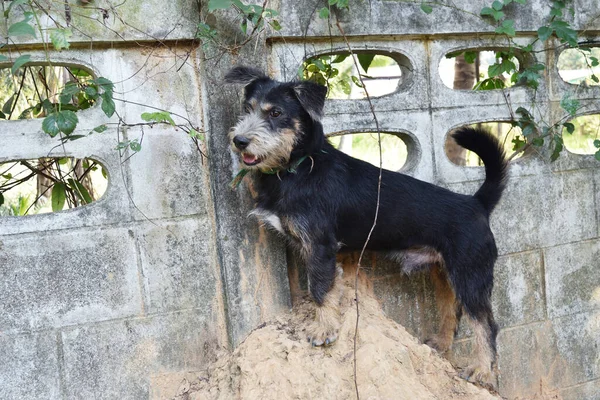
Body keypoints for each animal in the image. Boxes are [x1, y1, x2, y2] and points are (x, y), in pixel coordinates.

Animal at [224, 65, 506, 388]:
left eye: (276, 113)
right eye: (247, 109)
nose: (239, 141)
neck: (300, 166)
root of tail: (477, 203)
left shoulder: (320, 245)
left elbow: (319, 288)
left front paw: (324, 331)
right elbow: (329, 286)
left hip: (470, 276)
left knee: (486, 324)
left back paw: (482, 370)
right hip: (445, 274)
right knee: (452, 313)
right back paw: (441, 344)